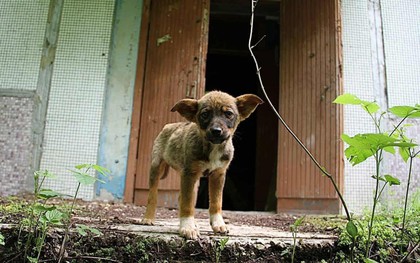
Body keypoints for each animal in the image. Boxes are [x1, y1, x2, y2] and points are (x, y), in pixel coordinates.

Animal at [140, 90, 262, 239]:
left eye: (228, 114)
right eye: (205, 114)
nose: (216, 131)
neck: (213, 147)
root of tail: (168, 126)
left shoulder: (218, 174)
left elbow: (216, 202)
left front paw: (218, 224)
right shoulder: (189, 173)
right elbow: (187, 203)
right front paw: (187, 227)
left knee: (183, 197)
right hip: (156, 167)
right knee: (153, 195)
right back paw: (148, 218)